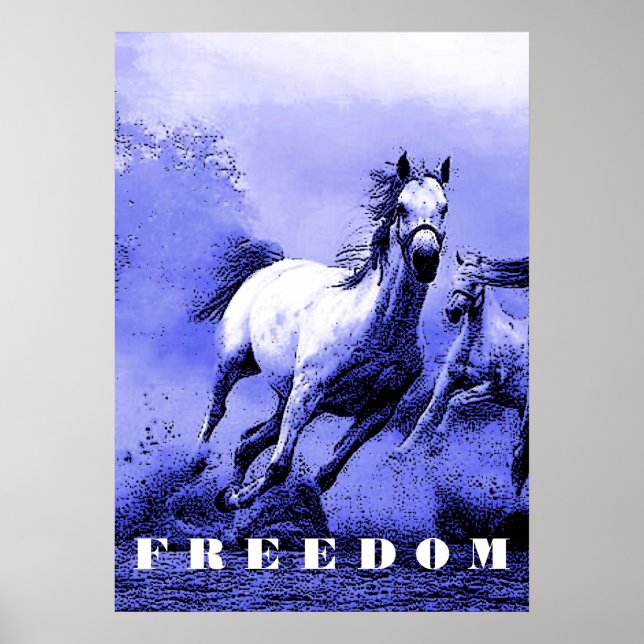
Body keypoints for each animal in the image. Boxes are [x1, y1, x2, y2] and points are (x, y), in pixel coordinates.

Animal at [196, 151, 453, 510]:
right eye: (402, 206)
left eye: (444, 208)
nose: (426, 260)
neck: (381, 331)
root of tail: (270, 267)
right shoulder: (307, 393)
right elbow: (279, 467)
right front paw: (239, 498)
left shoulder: (377, 411)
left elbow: (326, 474)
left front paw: (240, 498)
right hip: (236, 364)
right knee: (217, 412)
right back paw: (196, 462)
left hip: (285, 398)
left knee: (248, 442)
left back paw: (225, 493)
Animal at [397, 250, 529, 493]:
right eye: (455, 278)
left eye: (476, 282)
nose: (453, 312)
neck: (477, 343)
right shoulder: (447, 379)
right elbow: (427, 415)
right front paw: (402, 451)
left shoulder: (491, 388)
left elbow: (455, 402)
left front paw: (437, 442)